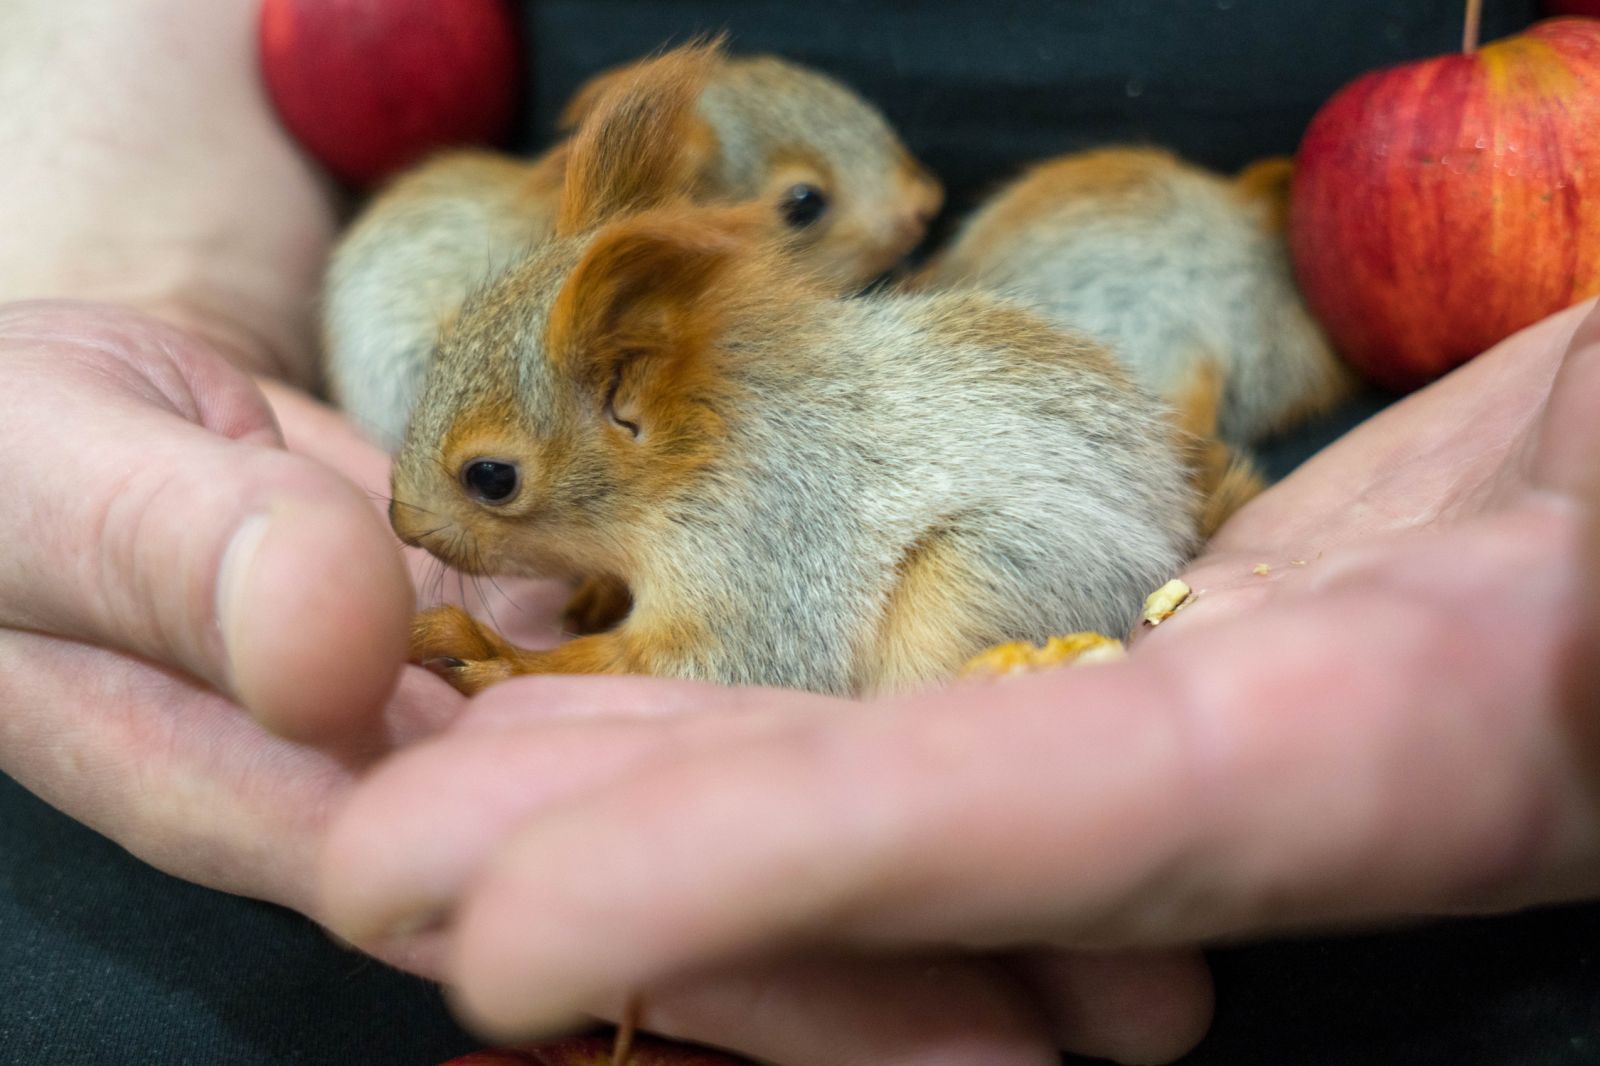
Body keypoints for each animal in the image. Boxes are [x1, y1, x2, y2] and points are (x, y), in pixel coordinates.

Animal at [387, 49, 1203, 697]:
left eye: (492, 477)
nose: (401, 523)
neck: (698, 453)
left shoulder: (762, 556)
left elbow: (711, 664)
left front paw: (489, 654)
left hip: (986, 575)